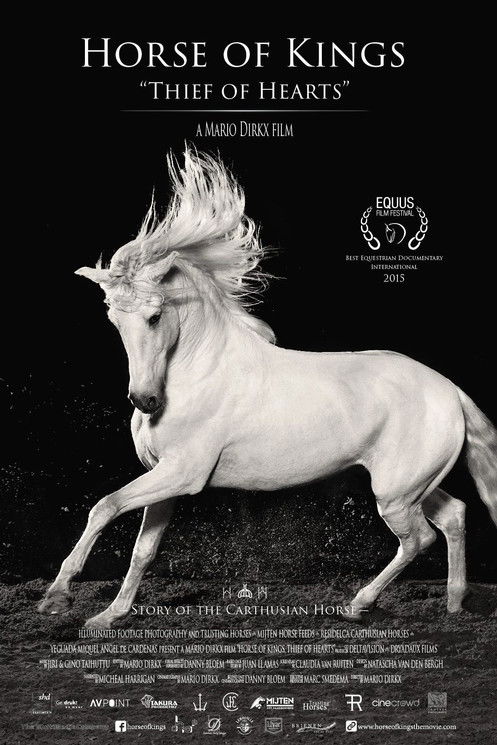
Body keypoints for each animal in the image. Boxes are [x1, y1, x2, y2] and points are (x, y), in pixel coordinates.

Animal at [38, 149, 497, 628]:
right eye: (113, 318)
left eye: (155, 315)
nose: (146, 400)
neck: (200, 372)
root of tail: (450, 390)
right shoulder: (162, 477)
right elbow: (142, 551)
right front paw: (110, 616)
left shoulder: (182, 473)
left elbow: (105, 506)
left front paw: (57, 596)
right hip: (411, 486)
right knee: (454, 515)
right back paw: (454, 602)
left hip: (395, 494)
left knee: (418, 539)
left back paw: (359, 604)